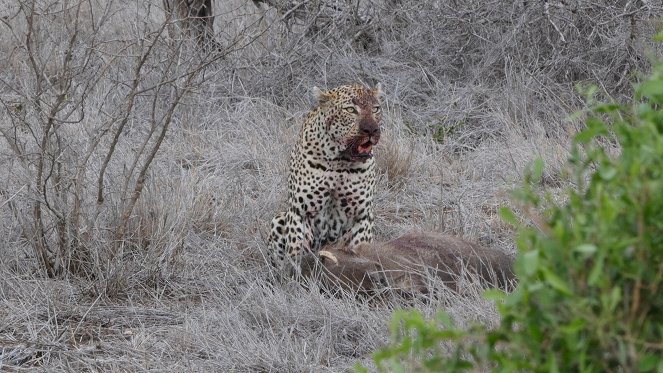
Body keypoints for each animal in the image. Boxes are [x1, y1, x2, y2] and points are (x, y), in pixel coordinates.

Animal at [268, 83, 384, 274]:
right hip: (279, 217)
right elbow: (295, 254)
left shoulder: (363, 216)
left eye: (375, 109)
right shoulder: (300, 212)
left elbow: (359, 250)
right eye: (350, 110)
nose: (371, 129)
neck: (340, 161)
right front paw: (294, 279)